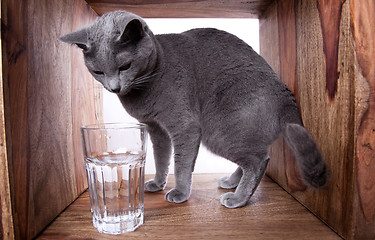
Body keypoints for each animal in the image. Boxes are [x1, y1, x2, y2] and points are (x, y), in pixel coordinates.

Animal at [58, 10, 326, 208]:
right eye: (98, 72)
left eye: (125, 66)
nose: (114, 88)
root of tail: (285, 91)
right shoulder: (156, 128)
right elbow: (161, 157)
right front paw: (157, 183)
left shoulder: (185, 126)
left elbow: (181, 163)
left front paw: (179, 193)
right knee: (251, 157)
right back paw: (231, 183)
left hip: (219, 130)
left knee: (259, 160)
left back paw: (238, 199)